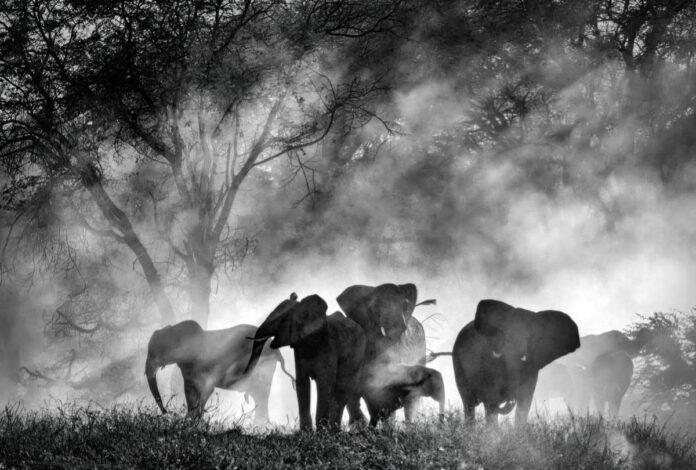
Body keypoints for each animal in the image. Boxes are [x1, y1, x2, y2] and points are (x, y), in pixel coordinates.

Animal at [145, 320, 294, 421]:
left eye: (154, 353)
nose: (167, 412)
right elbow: (195, 391)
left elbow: (198, 390)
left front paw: (192, 421)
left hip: (263, 367)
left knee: (261, 395)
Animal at [245, 293, 366, 431]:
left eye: (282, 320)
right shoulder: (299, 348)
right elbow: (302, 383)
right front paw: (306, 432)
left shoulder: (328, 346)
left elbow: (324, 383)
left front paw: (321, 432)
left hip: (357, 355)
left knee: (342, 390)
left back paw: (335, 431)